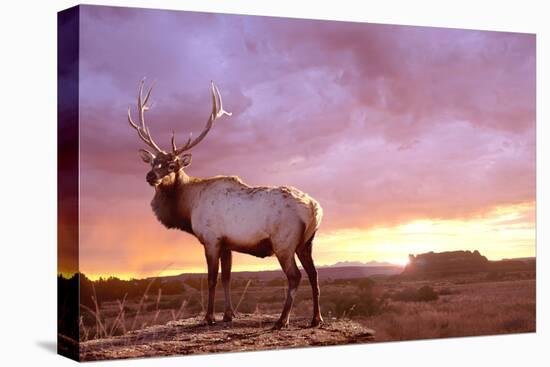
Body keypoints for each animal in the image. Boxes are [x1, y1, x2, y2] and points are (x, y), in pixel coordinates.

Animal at [127, 79, 326, 330]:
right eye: (153, 162)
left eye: (172, 165)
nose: (150, 176)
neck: (188, 207)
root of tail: (314, 209)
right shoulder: (227, 243)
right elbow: (227, 277)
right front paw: (228, 314)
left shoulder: (211, 239)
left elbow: (211, 278)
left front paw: (209, 317)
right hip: (306, 242)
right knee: (314, 274)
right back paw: (316, 318)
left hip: (284, 241)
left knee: (295, 276)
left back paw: (282, 320)